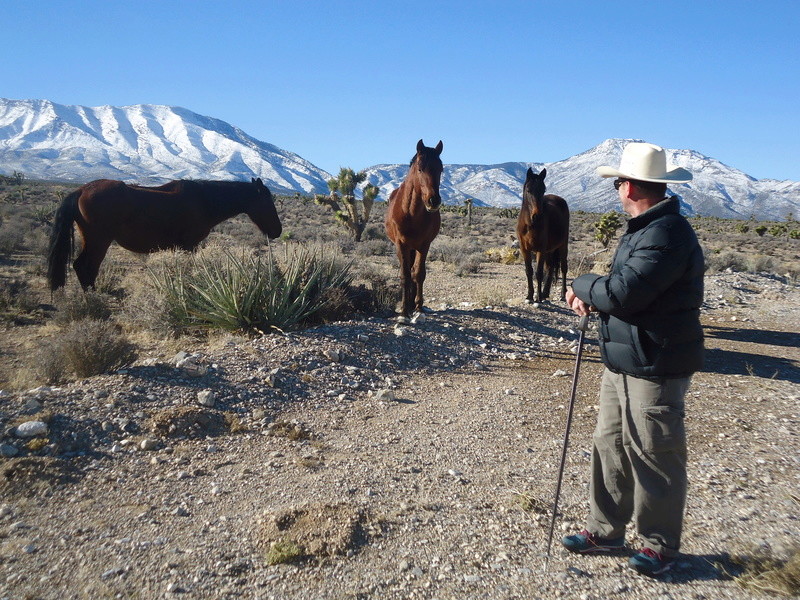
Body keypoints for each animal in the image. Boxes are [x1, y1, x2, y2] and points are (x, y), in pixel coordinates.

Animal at [47, 178, 282, 290]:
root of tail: (81, 190)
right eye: (267, 201)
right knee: (86, 268)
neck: (204, 201)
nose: (277, 231)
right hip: (99, 241)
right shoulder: (189, 245)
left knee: (82, 268)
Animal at [382, 139, 440, 322]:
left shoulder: (424, 245)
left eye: (441, 169)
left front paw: (419, 308)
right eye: (420, 168)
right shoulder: (401, 244)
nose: (434, 201)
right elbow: (405, 275)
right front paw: (403, 312)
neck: (411, 212)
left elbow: (419, 274)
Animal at [516, 166, 572, 302]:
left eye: (543, 190)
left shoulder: (540, 249)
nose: (537, 216)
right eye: (529, 190)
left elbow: (539, 273)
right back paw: (546, 292)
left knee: (563, 268)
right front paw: (530, 295)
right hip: (550, 250)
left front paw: (538, 297)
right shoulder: (524, 249)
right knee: (550, 267)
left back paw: (562, 294)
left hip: (562, 246)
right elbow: (529, 271)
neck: (530, 225)